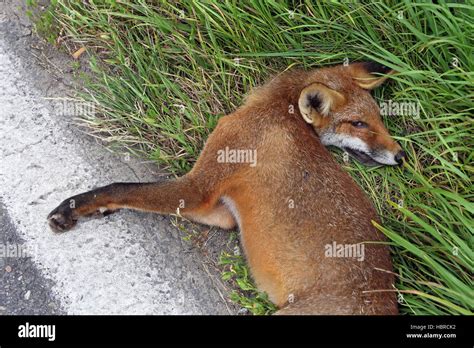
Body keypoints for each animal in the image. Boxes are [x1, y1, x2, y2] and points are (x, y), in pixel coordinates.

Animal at [47, 61, 404, 314]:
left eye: (378, 120)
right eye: (360, 123)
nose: (401, 155)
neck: (279, 110)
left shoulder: (198, 188)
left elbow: (121, 187)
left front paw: (74, 207)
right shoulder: (222, 213)